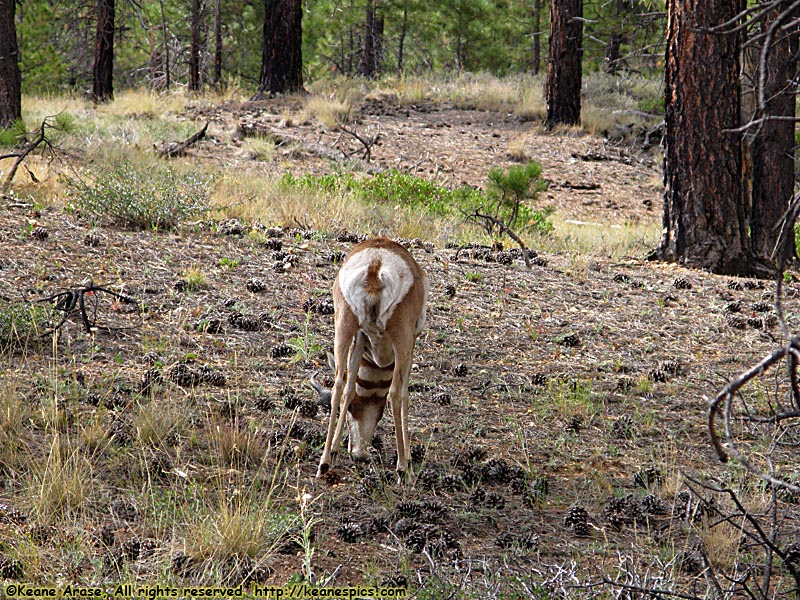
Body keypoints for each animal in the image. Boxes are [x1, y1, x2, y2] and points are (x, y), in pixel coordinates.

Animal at [318, 237, 432, 476]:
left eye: (353, 408)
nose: (358, 453)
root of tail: (375, 263)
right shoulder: (412, 341)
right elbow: (405, 393)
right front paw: (408, 458)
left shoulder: (360, 337)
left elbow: (350, 388)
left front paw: (334, 449)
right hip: (402, 338)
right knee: (396, 393)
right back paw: (403, 469)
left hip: (343, 326)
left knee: (339, 385)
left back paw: (324, 462)